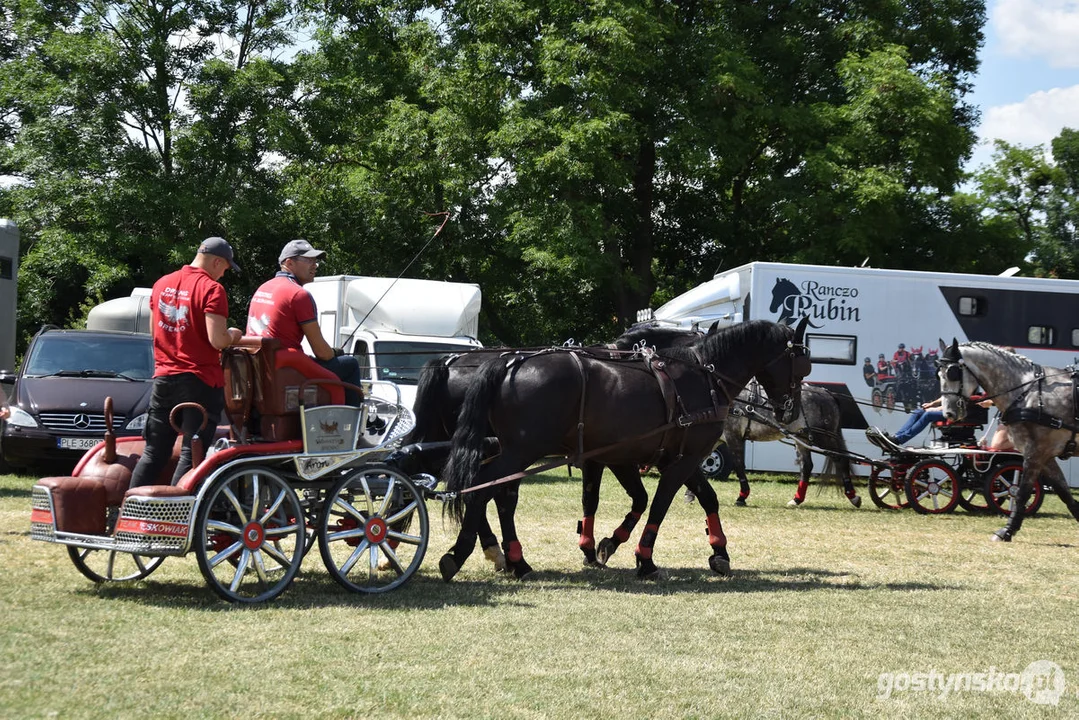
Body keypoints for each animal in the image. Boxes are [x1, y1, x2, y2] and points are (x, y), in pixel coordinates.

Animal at [407, 321, 712, 574]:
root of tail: (450, 361)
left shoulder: (607, 456)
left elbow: (599, 499)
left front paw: (594, 547)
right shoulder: (610, 457)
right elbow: (621, 498)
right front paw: (597, 548)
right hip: (506, 450)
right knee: (481, 489)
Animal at [442, 319, 807, 578]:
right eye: (803, 364)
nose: (791, 413)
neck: (703, 375)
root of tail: (508, 362)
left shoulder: (669, 457)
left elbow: (703, 498)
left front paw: (719, 552)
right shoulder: (681, 460)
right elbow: (658, 505)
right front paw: (644, 559)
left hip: (513, 451)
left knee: (495, 492)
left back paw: (511, 559)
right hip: (520, 451)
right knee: (484, 489)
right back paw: (464, 554)